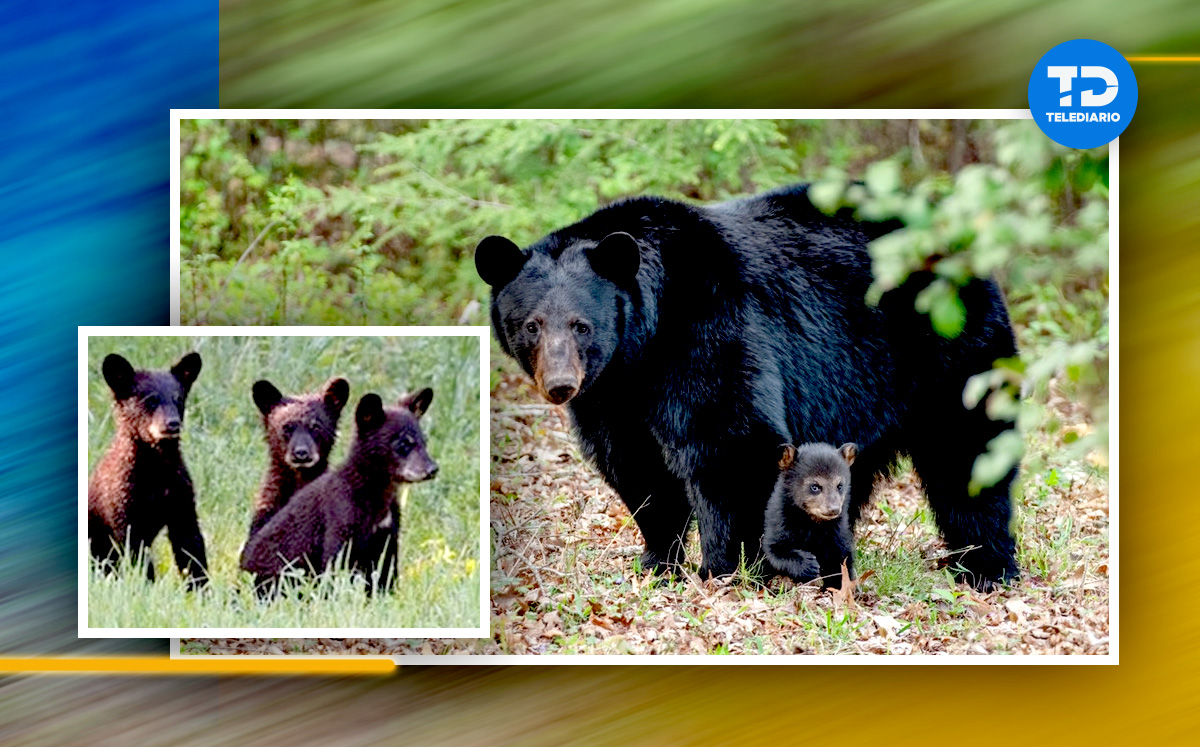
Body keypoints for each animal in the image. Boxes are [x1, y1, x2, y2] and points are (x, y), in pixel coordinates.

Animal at [88, 351, 209, 589]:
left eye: (178, 399)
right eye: (150, 400)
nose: (172, 424)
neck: (156, 470)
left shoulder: (180, 496)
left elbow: (190, 543)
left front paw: (202, 588)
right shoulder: (122, 501)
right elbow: (135, 549)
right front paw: (146, 586)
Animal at [762, 442, 857, 588]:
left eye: (839, 485)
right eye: (815, 487)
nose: (834, 509)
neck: (812, 524)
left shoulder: (838, 532)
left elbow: (841, 560)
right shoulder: (779, 522)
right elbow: (774, 549)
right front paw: (808, 565)